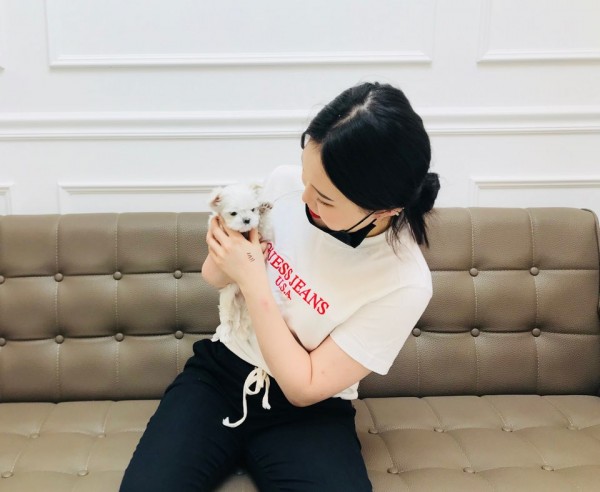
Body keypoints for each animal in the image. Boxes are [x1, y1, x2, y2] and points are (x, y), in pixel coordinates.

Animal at [208, 182, 273, 343]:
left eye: (253, 210)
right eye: (233, 213)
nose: (247, 220)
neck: (244, 233)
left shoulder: (262, 235)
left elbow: (262, 225)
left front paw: (264, 207)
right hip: (227, 300)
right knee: (226, 319)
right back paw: (224, 334)